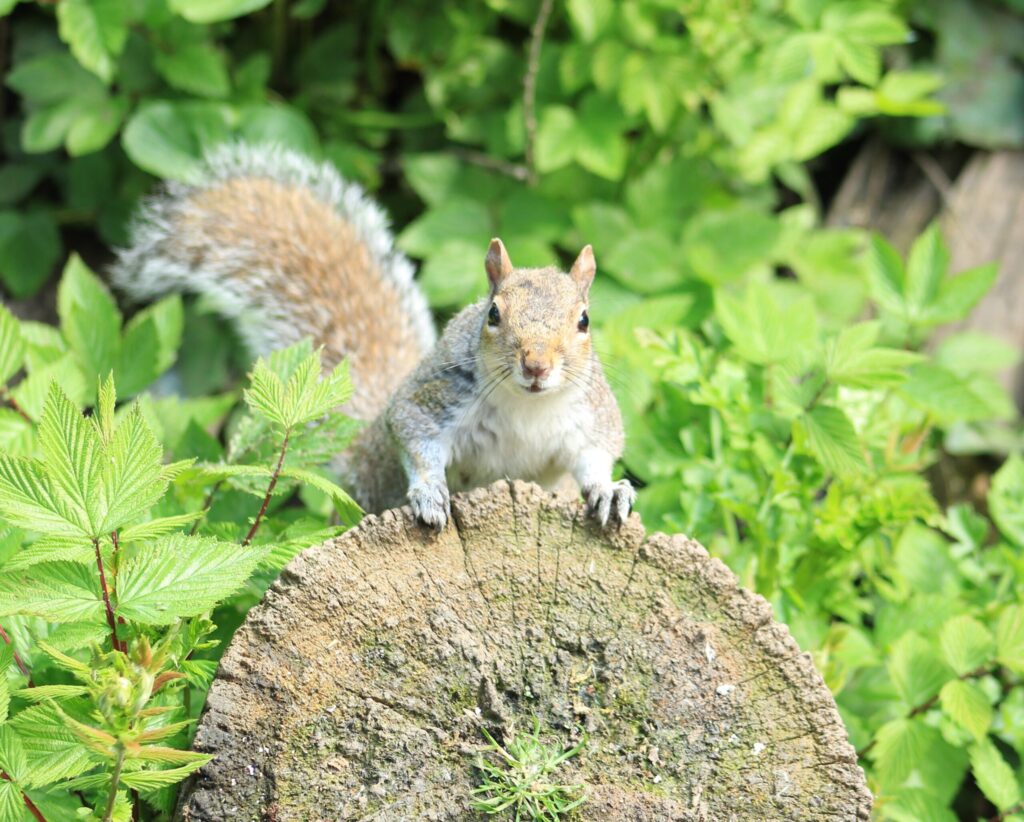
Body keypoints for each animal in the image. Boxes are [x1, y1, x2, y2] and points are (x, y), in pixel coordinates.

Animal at [111, 143, 634, 529]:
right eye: (493, 314)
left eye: (584, 321)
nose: (536, 365)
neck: (527, 406)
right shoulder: (437, 396)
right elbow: (414, 435)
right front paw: (430, 493)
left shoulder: (589, 418)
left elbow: (595, 457)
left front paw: (609, 491)